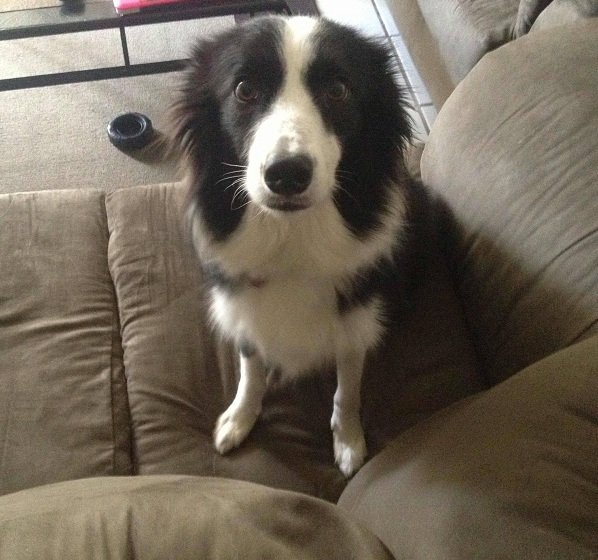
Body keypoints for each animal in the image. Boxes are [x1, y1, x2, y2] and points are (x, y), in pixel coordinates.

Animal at [171, 16, 428, 476]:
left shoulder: (356, 320)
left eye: (339, 90)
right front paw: (238, 418)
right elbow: (250, 365)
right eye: (244, 90)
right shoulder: (245, 310)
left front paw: (348, 440)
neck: (292, 236)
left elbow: (348, 386)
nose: (287, 174)